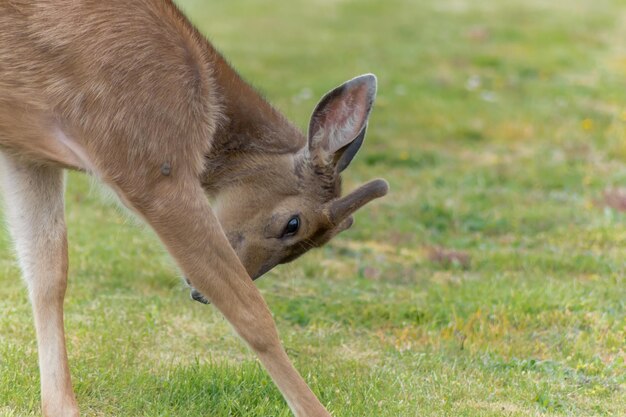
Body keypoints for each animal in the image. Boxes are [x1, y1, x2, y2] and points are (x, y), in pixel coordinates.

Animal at [0, 0, 388, 416]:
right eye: (293, 223)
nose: (196, 296)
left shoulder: (27, 154)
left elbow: (47, 274)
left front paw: (61, 405)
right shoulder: (150, 163)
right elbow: (250, 312)